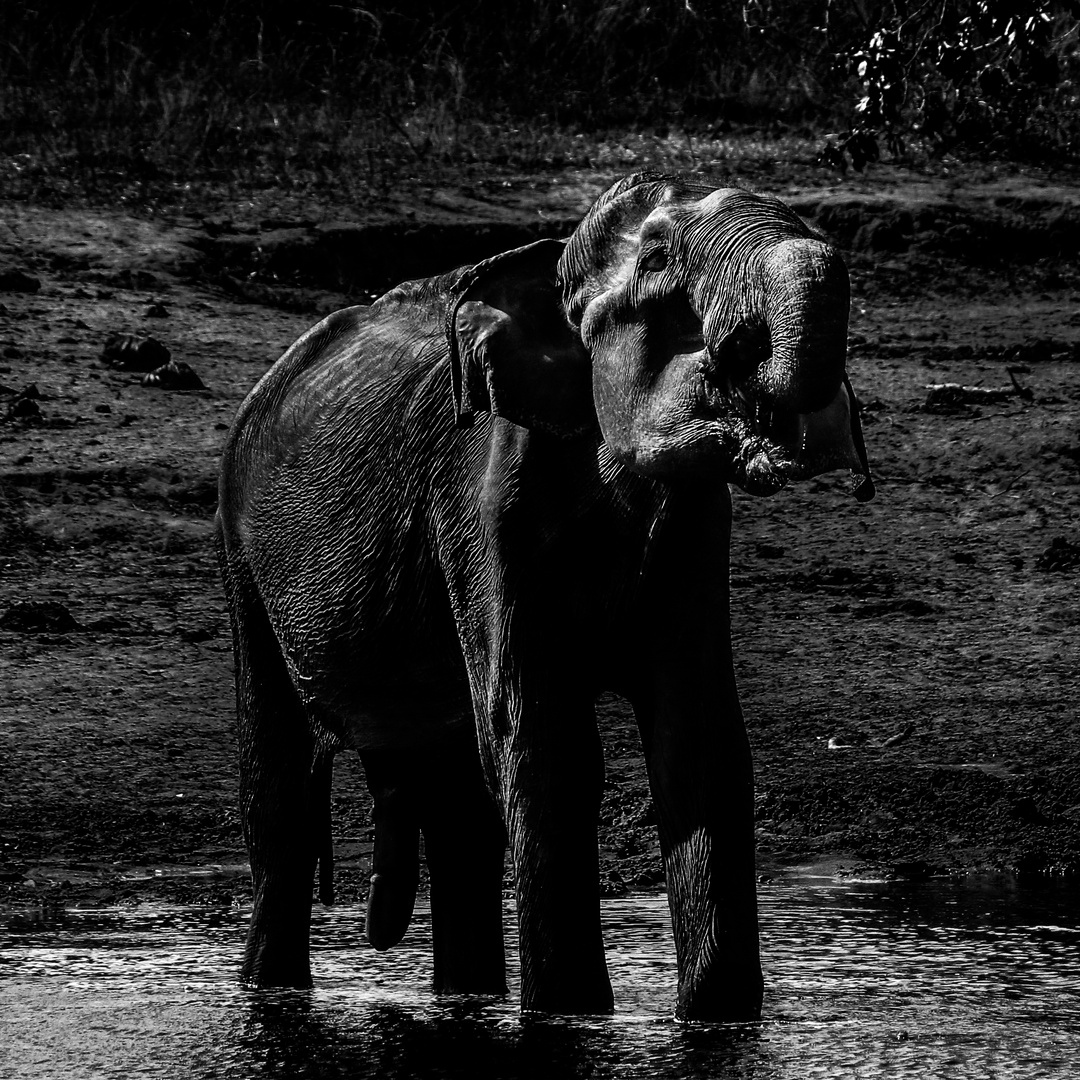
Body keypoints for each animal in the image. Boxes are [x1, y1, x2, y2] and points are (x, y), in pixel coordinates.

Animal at [214, 170, 872, 1019]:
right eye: (656, 260)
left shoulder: (694, 529)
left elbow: (699, 738)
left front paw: (719, 1021)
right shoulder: (482, 510)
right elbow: (543, 738)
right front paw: (570, 1017)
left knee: (459, 814)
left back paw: (466, 1000)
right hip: (240, 550)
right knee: (285, 802)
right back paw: (270, 995)